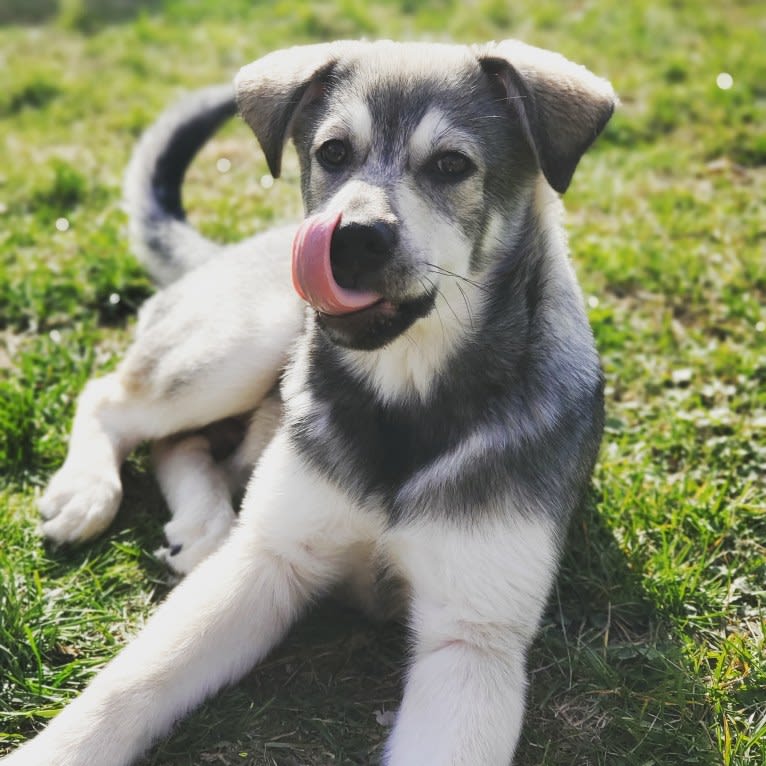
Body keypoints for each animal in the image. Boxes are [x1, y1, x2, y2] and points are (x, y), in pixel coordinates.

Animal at [3, 40, 616, 766]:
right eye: (333, 152)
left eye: (451, 165)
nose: (350, 238)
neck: (404, 396)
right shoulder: (271, 562)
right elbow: (129, 686)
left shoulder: (473, 637)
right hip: (248, 340)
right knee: (115, 401)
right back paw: (91, 492)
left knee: (184, 443)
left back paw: (202, 522)